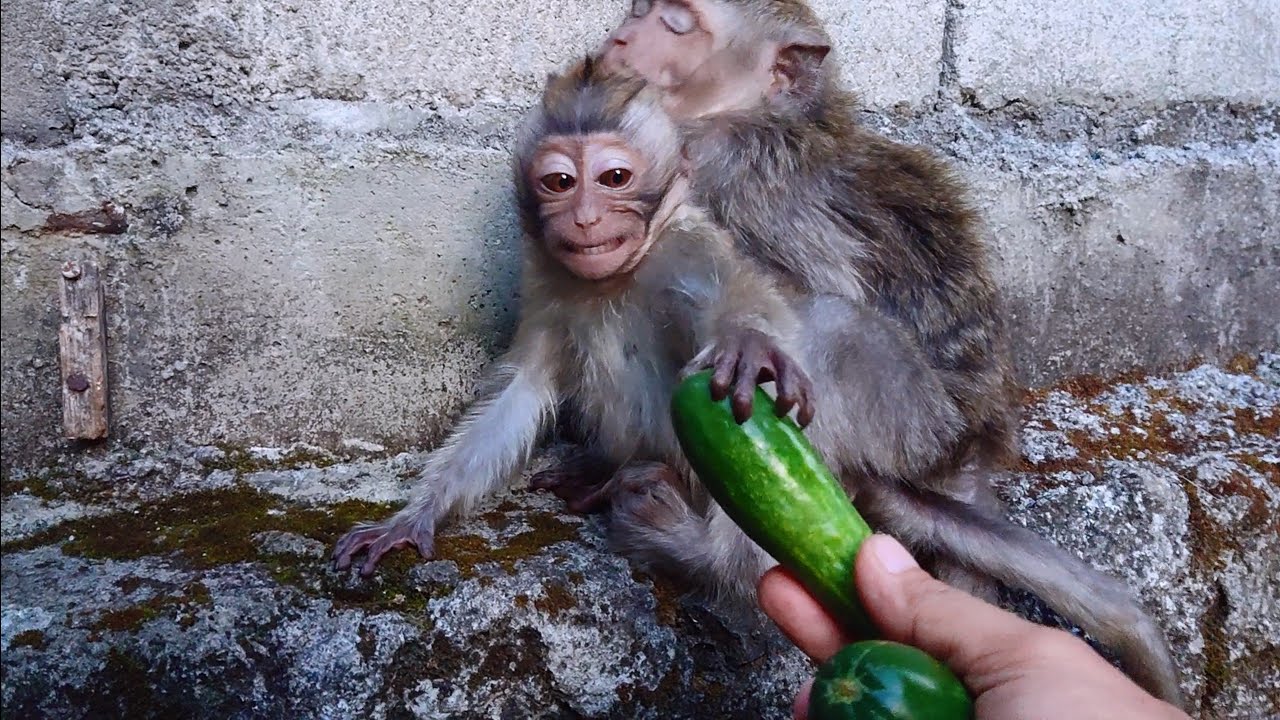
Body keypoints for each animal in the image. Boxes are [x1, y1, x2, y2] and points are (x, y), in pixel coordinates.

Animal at [585, 0, 1185, 707]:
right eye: (642, 11)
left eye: (680, 25)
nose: (623, 36)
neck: (755, 116)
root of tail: (966, 454)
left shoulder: (721, 169)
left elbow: (780, 291)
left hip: (909, 419)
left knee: (830, 331)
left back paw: (709, 555)